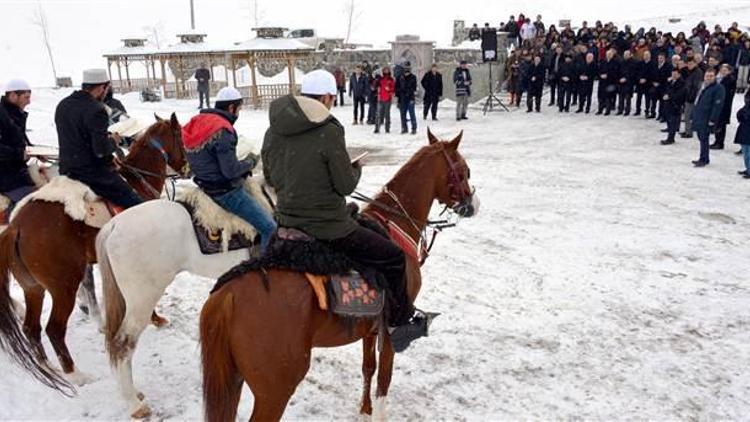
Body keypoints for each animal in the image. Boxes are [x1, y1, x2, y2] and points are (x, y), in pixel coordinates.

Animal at [0, 113, 188, 394]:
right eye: (181, 137)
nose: (187, 168)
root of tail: (17, 227)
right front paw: (155, 318)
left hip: (33, 287)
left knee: (31, 329)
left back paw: (48, 367)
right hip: (63, 286)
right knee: (54, 329)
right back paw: (75, 374)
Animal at [198, 130, 482, 420]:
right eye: (464, 171)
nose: (473, 204)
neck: (395, 223)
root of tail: (227, 296)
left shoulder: (370, 328)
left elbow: (368, 368)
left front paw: (365, 410)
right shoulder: (389, 331)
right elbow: (384, 381)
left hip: (233, 380)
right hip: (275, 390)